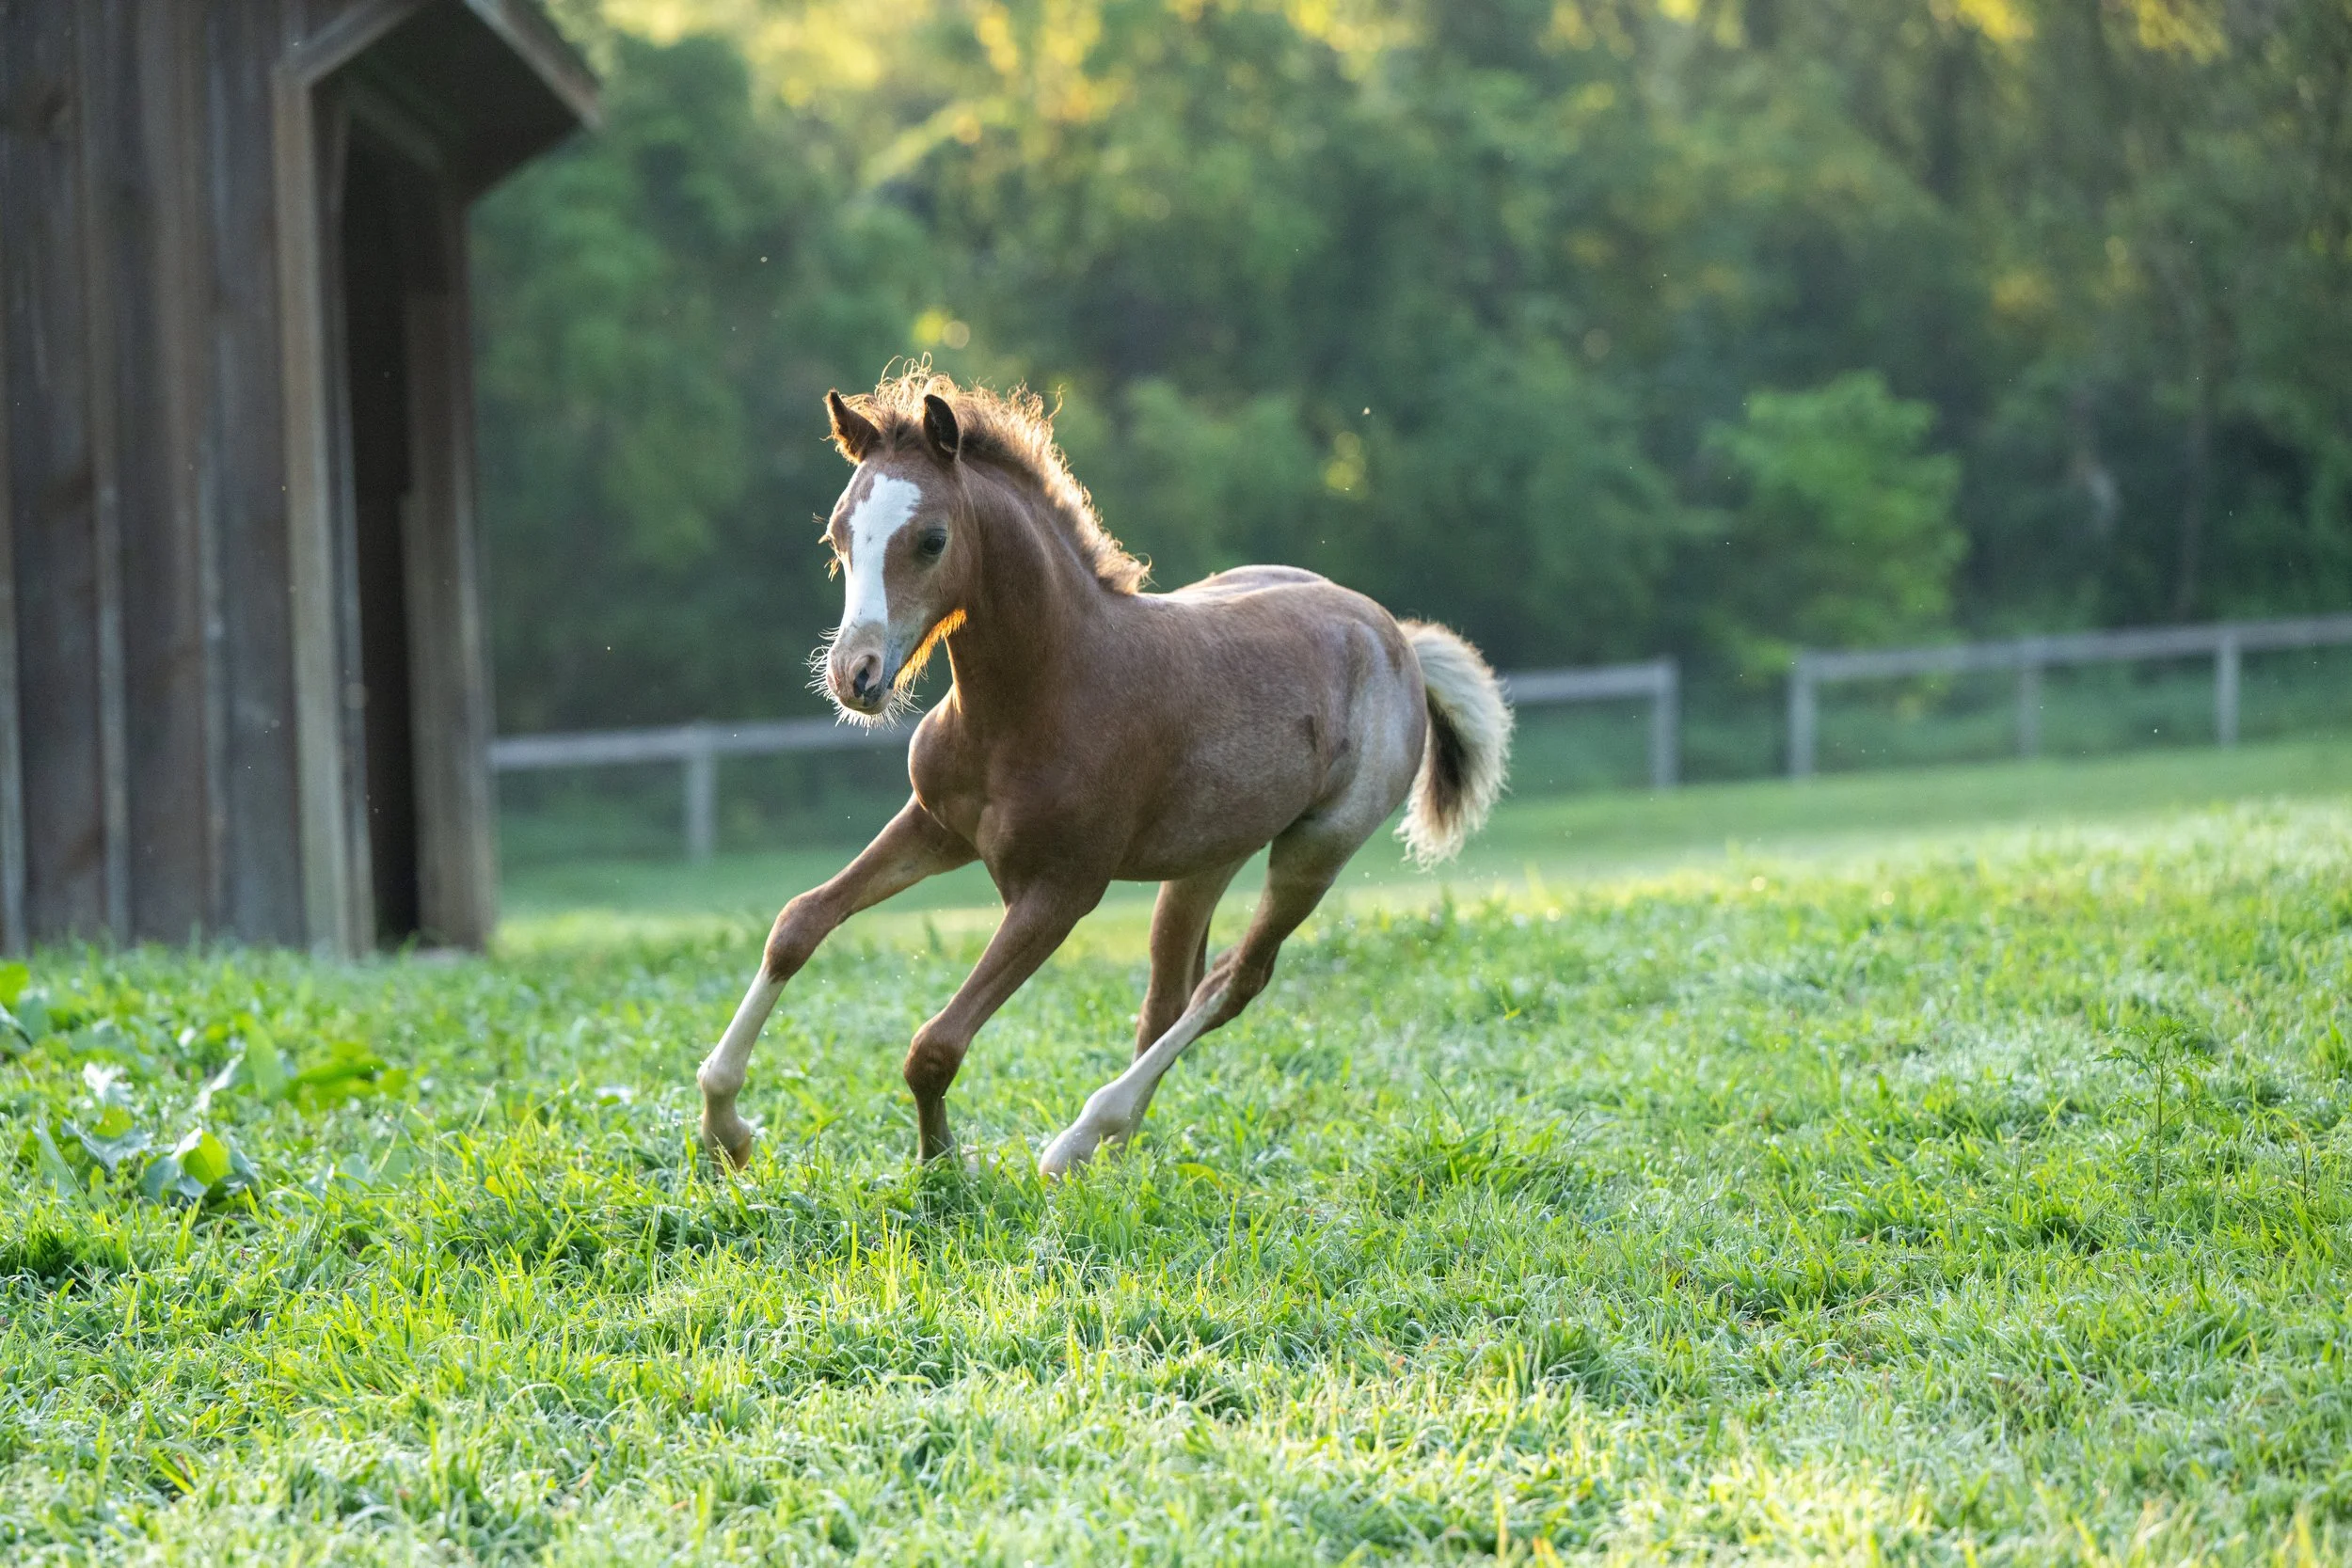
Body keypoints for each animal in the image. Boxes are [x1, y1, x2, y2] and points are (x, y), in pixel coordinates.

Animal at [696, 371, 1512, 1176]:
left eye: (931, 540)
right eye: (838, 536)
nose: (854, 675)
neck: (1037, 697)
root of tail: (1395, 637)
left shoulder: (1060, 891)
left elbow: (936, 1044)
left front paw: (943, 1167)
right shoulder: (934, 825)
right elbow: (798, 924)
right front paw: (724, 1126)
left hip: (1317, 850)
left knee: (1234, 981)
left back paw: (1079, 1140)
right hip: (1208, 857)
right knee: (1170, 993)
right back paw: (1112, 1157)